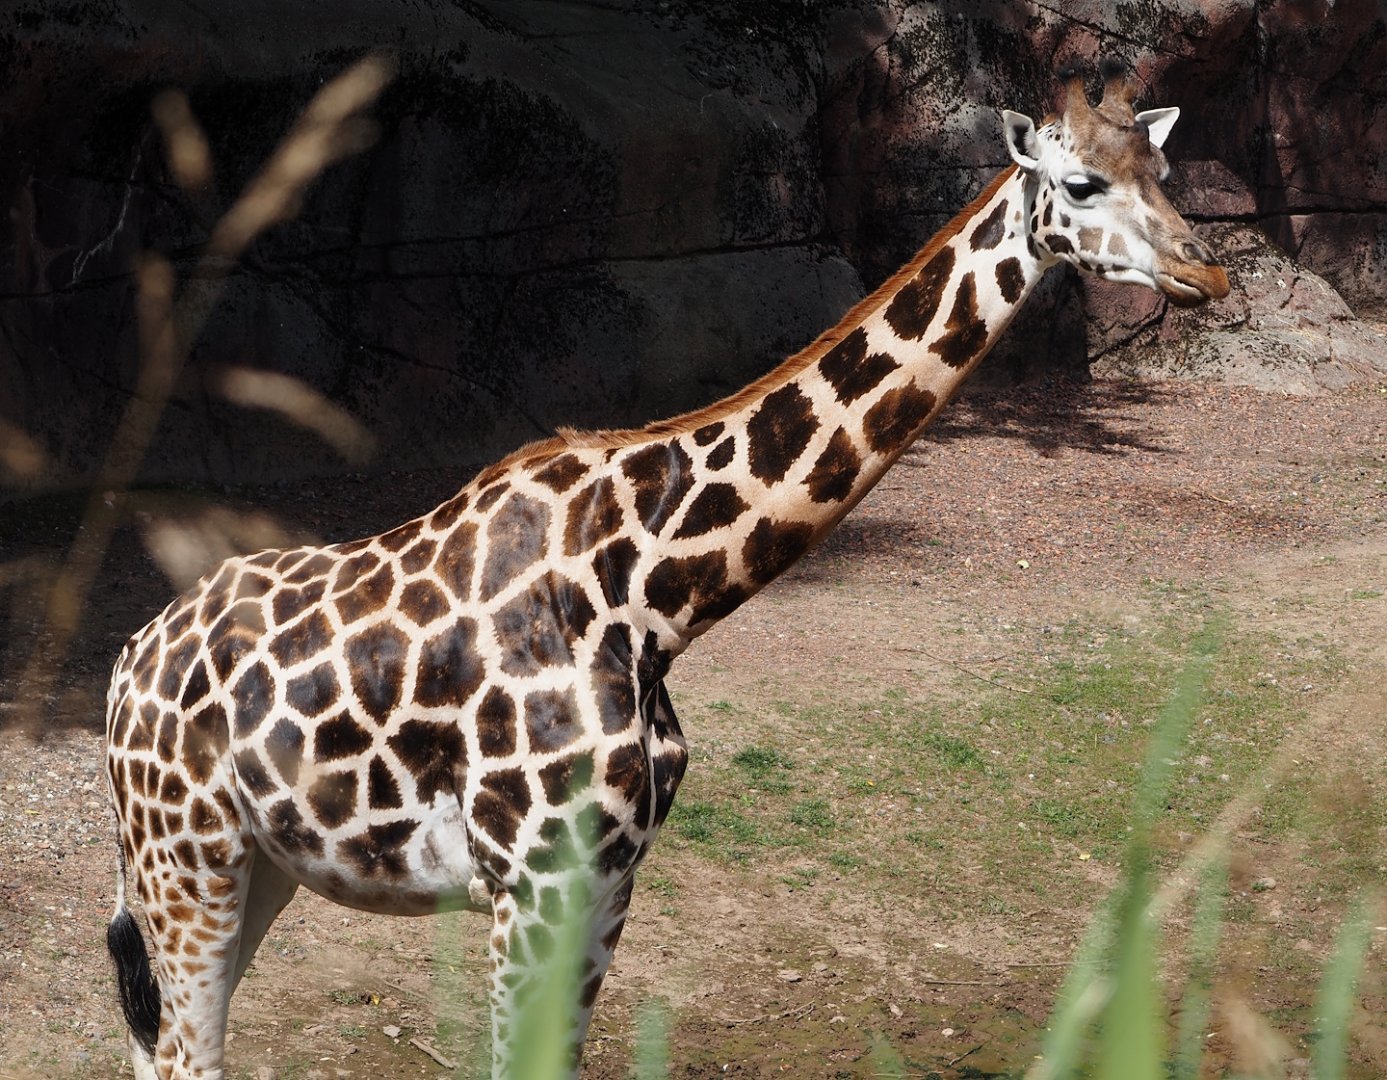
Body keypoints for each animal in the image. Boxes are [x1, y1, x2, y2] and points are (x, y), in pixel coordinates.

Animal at [104, 64, 1229, 1079]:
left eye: (1164, 169)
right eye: (1079, 184)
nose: (1207, 271)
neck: (654, 597)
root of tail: (124, 668)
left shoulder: (608, 879)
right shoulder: (528, 882)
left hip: (258, 864)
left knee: (160, 1044)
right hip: (186, 854)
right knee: (184, 1053)